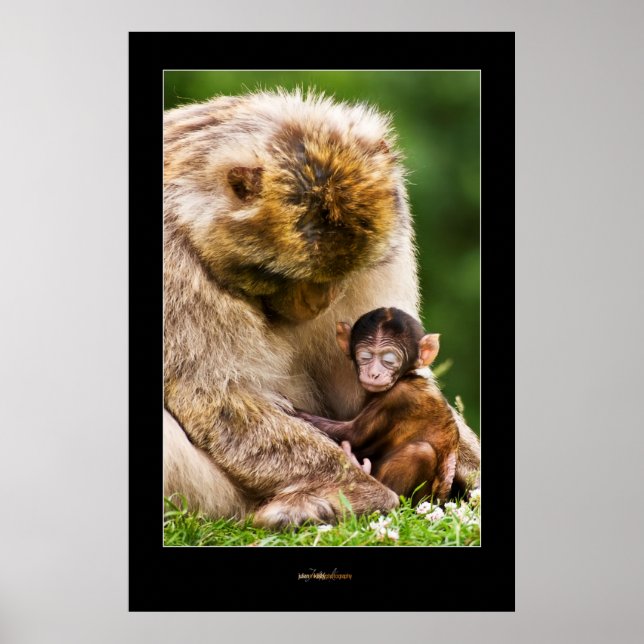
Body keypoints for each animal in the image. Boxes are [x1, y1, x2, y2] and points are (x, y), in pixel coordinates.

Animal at [296, 307, 464, 504]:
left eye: (389, 361)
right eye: (365, 357)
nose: (374, 373)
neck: (406, 376)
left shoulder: (398, 396)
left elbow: (353, 434)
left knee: (420, 452)